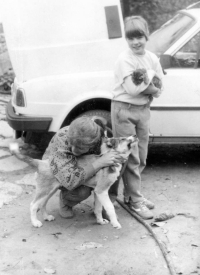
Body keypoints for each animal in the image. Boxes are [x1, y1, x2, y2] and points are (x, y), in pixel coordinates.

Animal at [9, 135, 138, 230]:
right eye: (123, 139)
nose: (135, 135)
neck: (110, 158)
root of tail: (41, 162)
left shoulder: (98, 193)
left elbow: (98, 209)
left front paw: (100, 221)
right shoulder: (101, 190)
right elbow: (110, 207)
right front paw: (115, 223)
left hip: (50, 190)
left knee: (42, 204)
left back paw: (46, 217)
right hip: (44, 190)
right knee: (33, 205)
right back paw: (35, 222)